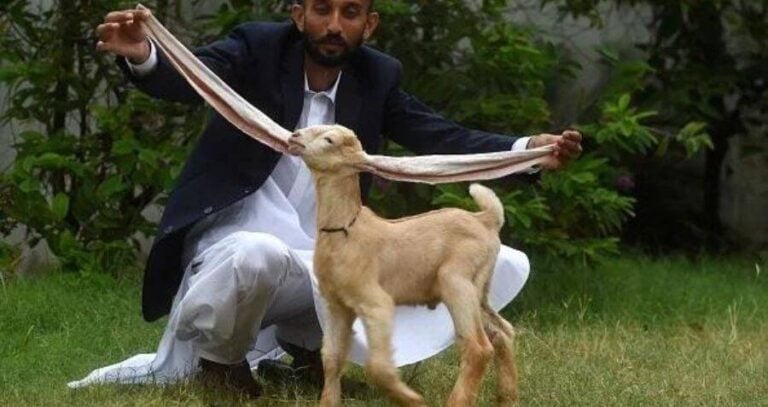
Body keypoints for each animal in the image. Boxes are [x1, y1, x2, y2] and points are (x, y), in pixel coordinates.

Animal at [289, 125, 519, 407]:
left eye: (329, 140)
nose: (294, 136)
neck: (346, 229)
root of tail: (485, 219)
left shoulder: (376, 303)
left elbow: (377, 367)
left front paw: (413, 399)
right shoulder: (337, 306)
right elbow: (331, 359)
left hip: (457, 281)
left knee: (478, 347)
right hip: (480, 287)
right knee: (502, 332)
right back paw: (508, 397)